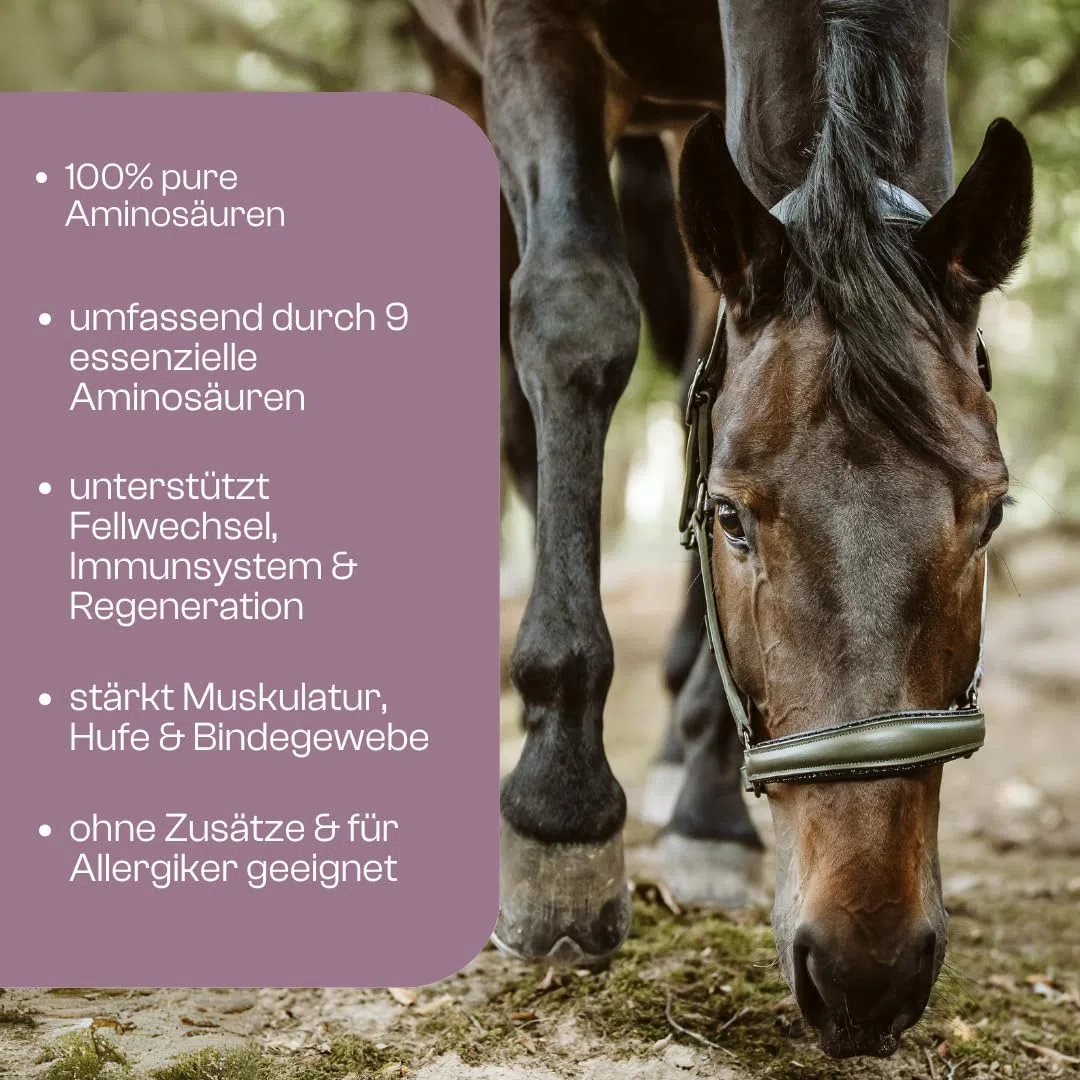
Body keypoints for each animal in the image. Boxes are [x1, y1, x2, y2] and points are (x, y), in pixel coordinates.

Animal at [409, 0, 1033, 1058]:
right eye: (729, 516)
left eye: (991, 514)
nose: (866, 968)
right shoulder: (528, 37)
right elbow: (574, 319)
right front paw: (559, 809)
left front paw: (708, 810)